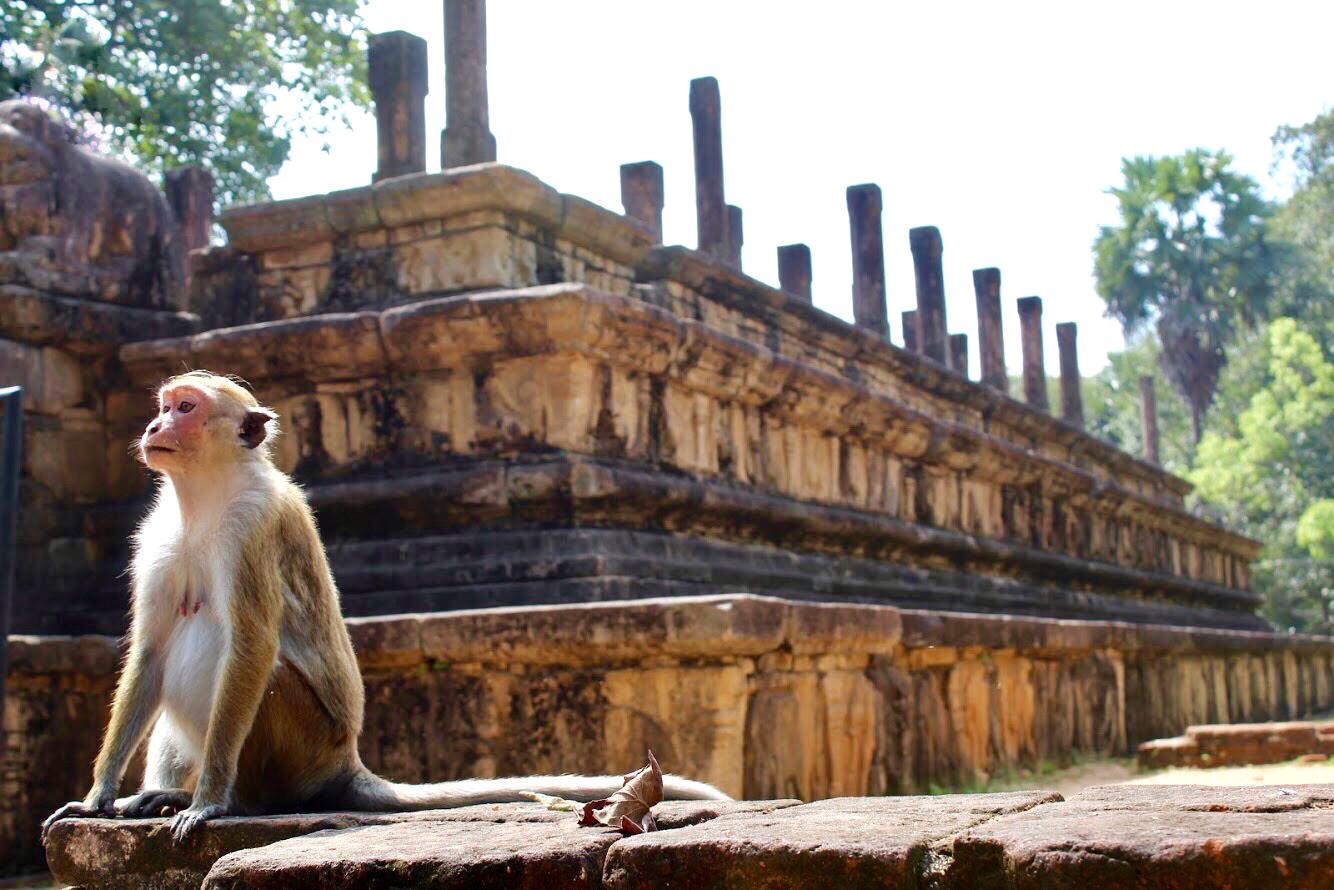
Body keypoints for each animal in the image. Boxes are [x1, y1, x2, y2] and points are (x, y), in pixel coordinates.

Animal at [41, 370, 725, 843]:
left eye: (186, 408)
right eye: (165, 406)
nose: (155, 428)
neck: (205, 496)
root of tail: (346, 764)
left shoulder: (252, 528)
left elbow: (253, 646)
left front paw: (209, 802)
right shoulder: (157, 538)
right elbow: (150, 653)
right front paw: (98, 798)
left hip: (302, 748)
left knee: (241, 655)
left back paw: (229, 800)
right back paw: (162, 796)